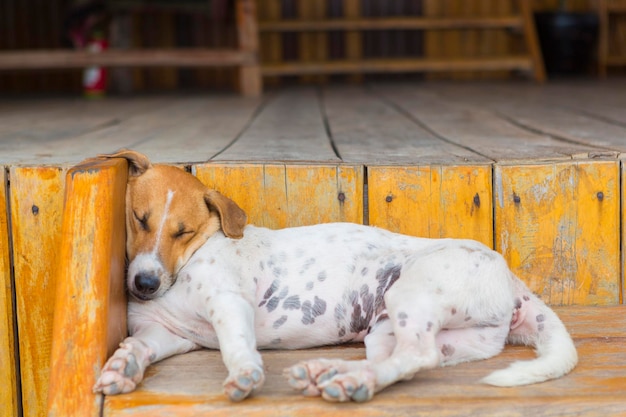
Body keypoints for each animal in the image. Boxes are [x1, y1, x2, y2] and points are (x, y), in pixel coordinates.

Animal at [91, 149, 576, 400]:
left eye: (183, 231)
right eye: (138, 219)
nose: (144, 285)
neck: (188, 263)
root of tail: (511, 280)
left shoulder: (229, 304)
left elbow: (235, 346)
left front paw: (245, 373)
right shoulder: (168, 334)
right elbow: (140, 347)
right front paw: (124, 367)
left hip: (411, 295)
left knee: (416, 356)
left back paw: (347, 379)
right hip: (413, 333)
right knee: (406, 361)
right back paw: (334, 374)